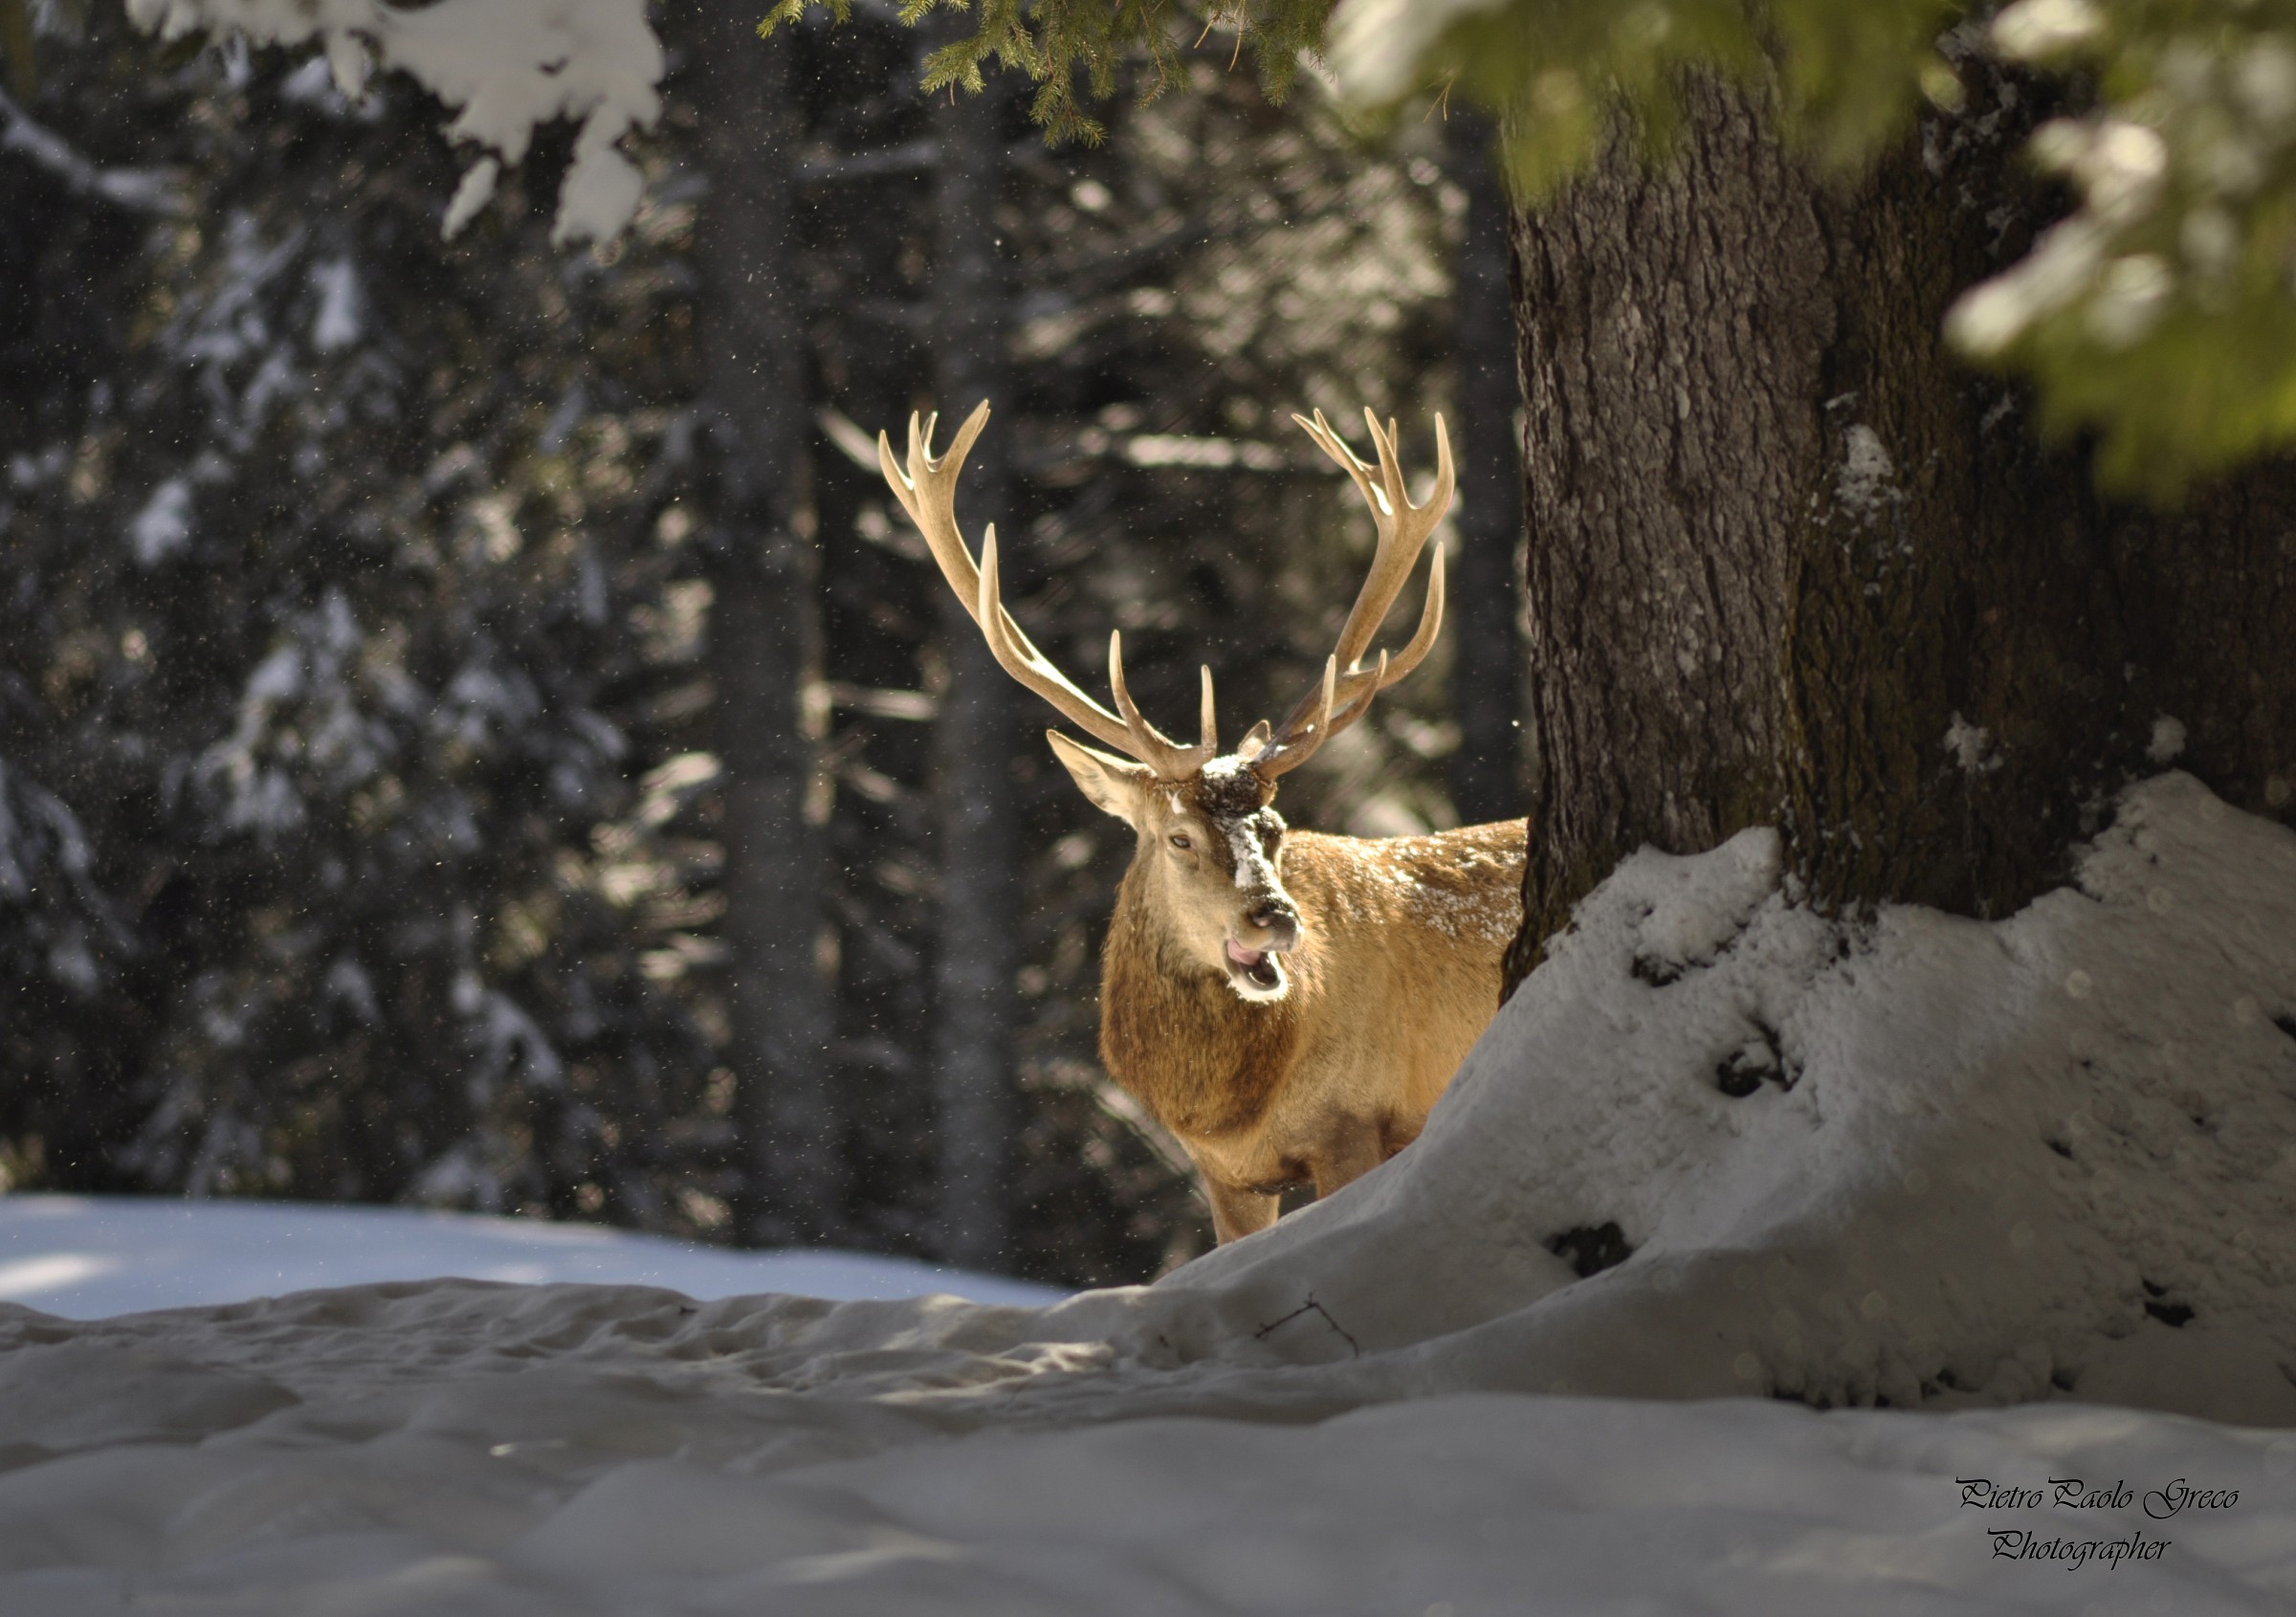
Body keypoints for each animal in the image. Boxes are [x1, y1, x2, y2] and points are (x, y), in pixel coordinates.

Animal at [878, 401, 1525, 1243]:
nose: (1275, 919)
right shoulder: (1224, 1171)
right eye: (1178, 836)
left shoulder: (1358, 1122)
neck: (1227, 1108)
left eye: (1274, 827)